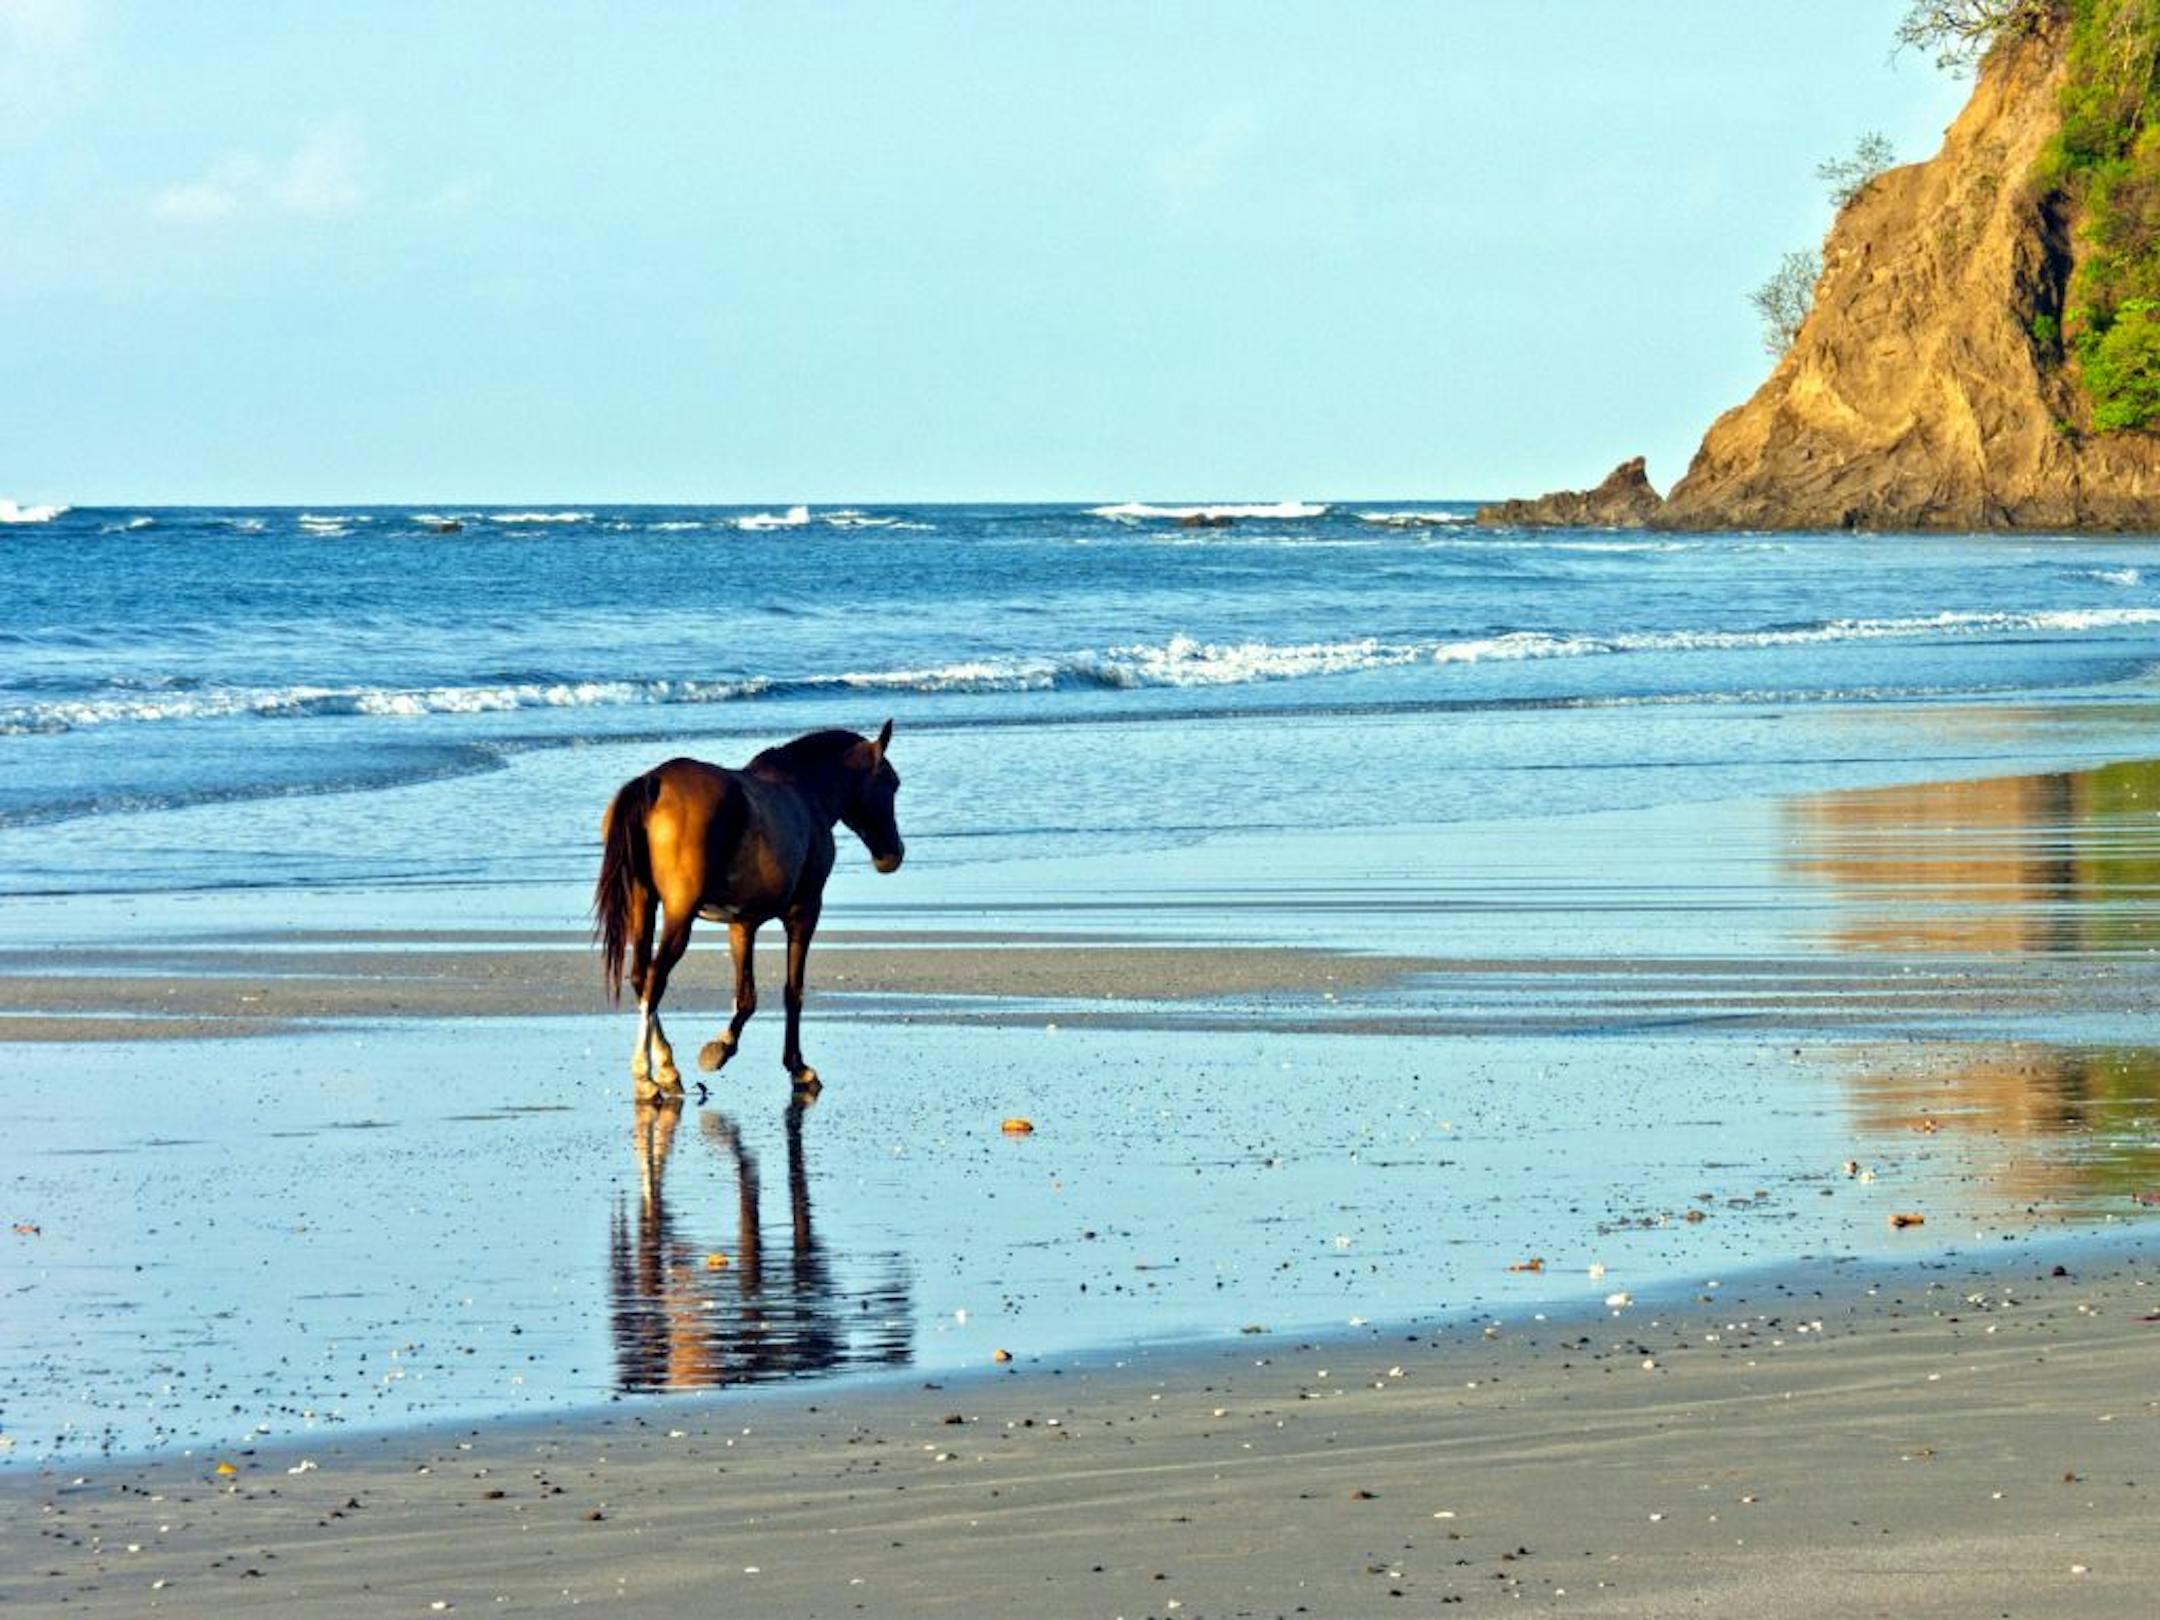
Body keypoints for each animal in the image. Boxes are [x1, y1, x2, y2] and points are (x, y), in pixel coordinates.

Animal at [593, 722, 904, 1097]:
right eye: (891, 782)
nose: (892, 853)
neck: (805, 790)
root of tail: (654, 781)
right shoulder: (804, 911)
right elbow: (791, 990)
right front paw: (796, 1067)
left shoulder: (742, 923)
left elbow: (746, 996)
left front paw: (722, 1046)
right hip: (679, 914)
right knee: (655, 978)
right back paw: (646, 1076)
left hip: (643, 904)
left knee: (641, 976)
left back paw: (667, 1067)